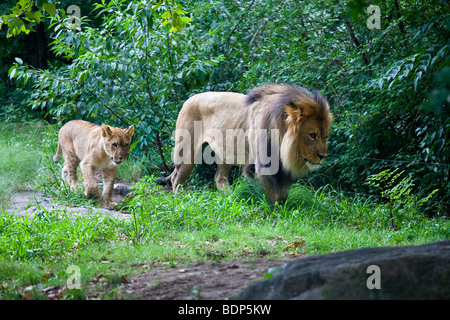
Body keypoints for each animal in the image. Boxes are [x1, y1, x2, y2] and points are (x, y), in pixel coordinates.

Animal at [163, 83, 332, 202]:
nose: (323, 156)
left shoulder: (281, 168)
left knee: (219, 177)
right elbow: (270, 193)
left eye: (325, 137)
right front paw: (274, 213)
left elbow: (282, 193)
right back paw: (180, 199)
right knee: (176, 178)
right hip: (187, 152)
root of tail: (189, 99)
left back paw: (229, 197)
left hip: (226, 154)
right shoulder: (264, 164)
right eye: (312, 135)